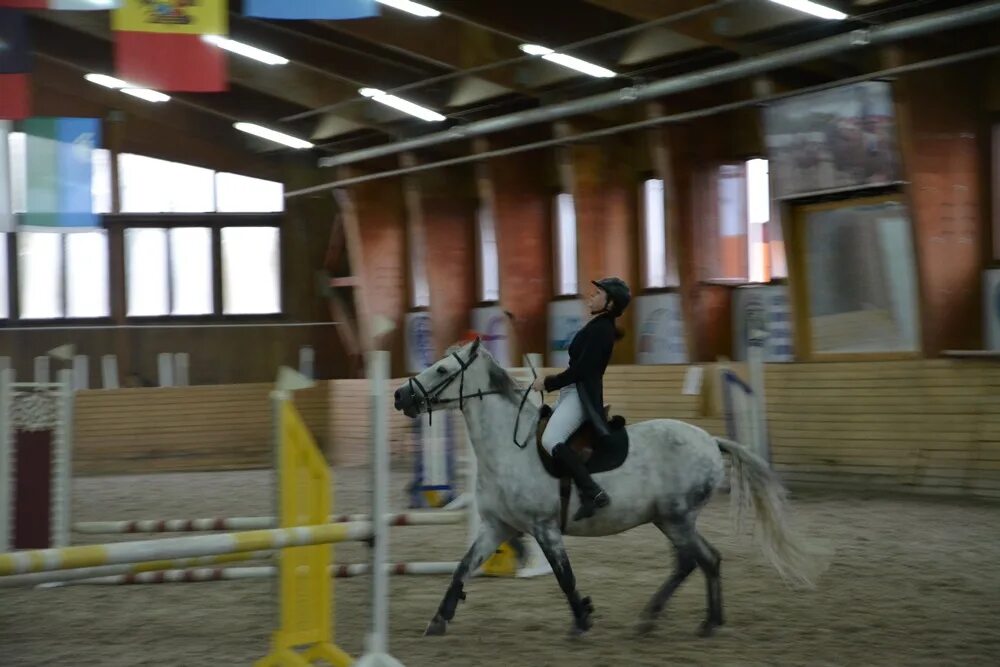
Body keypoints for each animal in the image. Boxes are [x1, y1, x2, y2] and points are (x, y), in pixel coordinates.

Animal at [394, 342, 824, 640]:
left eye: (443, 369)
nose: (400, 396)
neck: (508, 447)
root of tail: (709, 440)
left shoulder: (544, 527)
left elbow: (564, 577)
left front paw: (582, 620)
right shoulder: (498, 527)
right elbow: (462, 568)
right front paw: (438, 620)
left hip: (677, 517)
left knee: (699, 559)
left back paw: (693, 621)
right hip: (669, 519)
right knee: (697, 561)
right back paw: (678, 620)